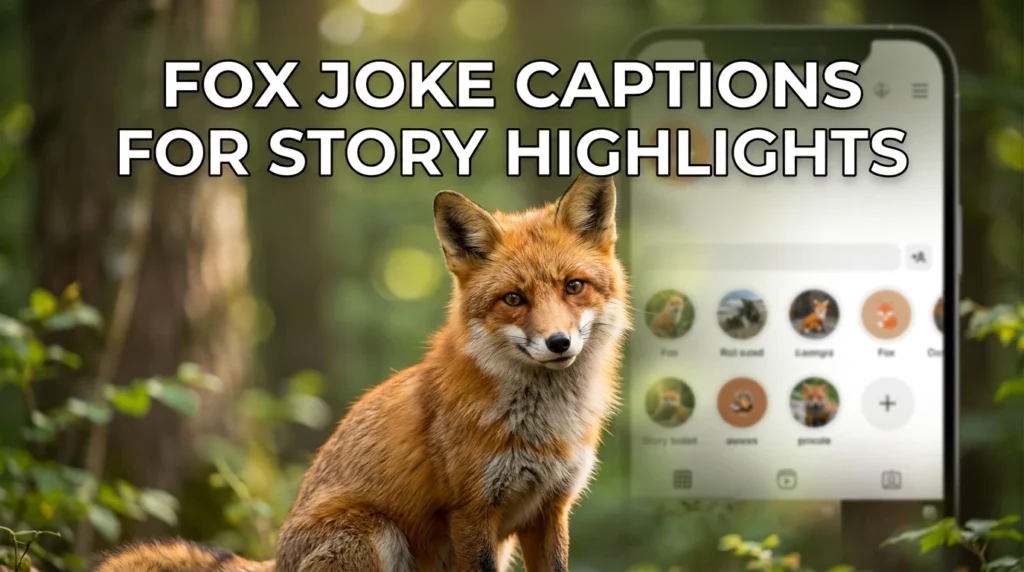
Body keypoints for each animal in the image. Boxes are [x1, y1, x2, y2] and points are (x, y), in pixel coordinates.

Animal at [92, 173, 630, 572]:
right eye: (514, 299)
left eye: (573, 286)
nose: (558, 343)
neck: (543, 427)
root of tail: (275, 561)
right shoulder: (471, 512)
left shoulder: (549, 510)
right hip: (375, 533)